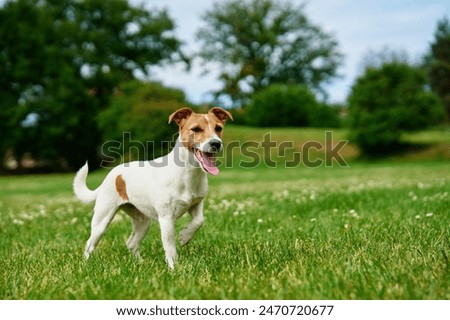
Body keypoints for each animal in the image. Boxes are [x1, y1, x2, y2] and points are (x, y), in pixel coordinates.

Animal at [72, 107, 234, 268]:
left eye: (218, 128)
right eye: (196, 129)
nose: (216, 143)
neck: (188, 173)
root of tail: (111, 175)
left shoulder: (197, 204)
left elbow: (199, 221)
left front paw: (185, 236)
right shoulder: (166, 218)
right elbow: (170, 246)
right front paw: (173, 267)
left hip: (143, 221)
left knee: (131, 243)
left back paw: (140, 263)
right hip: (103, 219)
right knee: (90, 244)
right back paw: (85, 264)